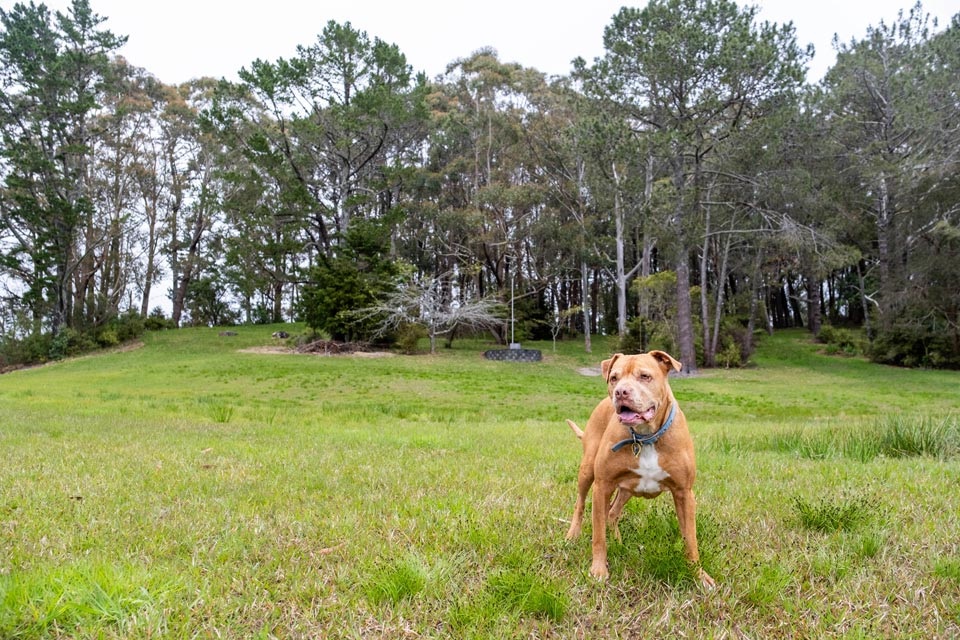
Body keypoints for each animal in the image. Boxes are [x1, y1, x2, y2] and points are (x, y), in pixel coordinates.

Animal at [568, 350, 716, 592]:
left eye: (645, 376)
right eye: (614, 378)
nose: (621, 392)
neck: (645, 437)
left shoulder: (684, 493)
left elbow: (690, 539)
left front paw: (699, 575)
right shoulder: (602, 486)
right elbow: (598, 536)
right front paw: (598, 570)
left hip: (627, 489)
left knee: (613, 512)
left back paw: (617, 541)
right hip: (588, 470)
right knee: (581, 504)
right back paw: (572, 535)